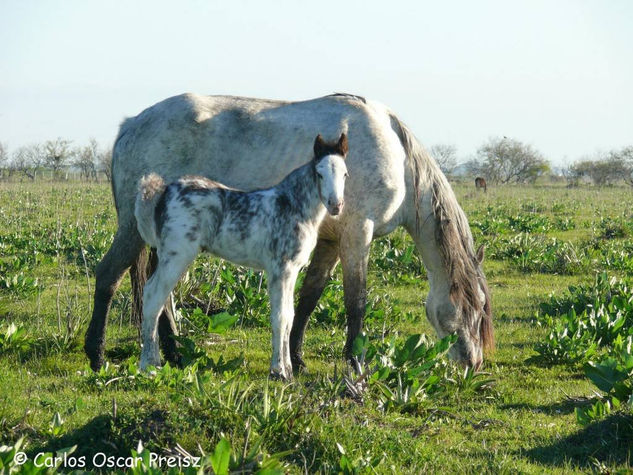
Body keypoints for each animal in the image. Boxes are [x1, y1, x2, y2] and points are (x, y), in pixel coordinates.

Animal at [84, 94, 492, 372]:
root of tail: (130, 125)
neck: (399, 160)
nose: (473, 363)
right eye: (472, 308)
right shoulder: (357, 234)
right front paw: (354, 362)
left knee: (159, 293)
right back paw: (97, 355)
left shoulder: (328, 241)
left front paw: (295, 357)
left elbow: (307, 300)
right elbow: (356, 302)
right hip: (132, 231)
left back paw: (173, 353)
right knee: (111, 277)